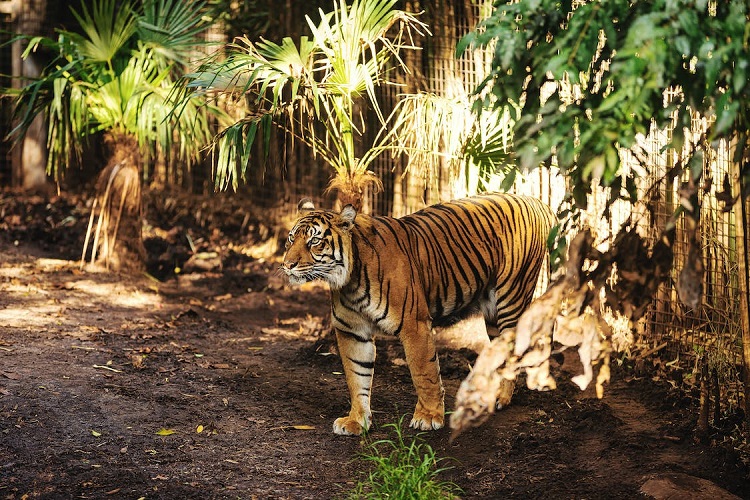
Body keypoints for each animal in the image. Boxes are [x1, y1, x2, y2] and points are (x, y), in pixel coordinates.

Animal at [282, 193, 560, 436]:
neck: (349, 282)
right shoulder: (351, 331)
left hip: (511, 298)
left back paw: (502, 397)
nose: (287, 265)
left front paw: (428, 417)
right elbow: (356, 376)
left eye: (314, 241)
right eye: (290, 239)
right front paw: (356, 421)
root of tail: (537, 201)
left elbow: (424, 373)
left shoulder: (413, 325)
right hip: (493, 311)